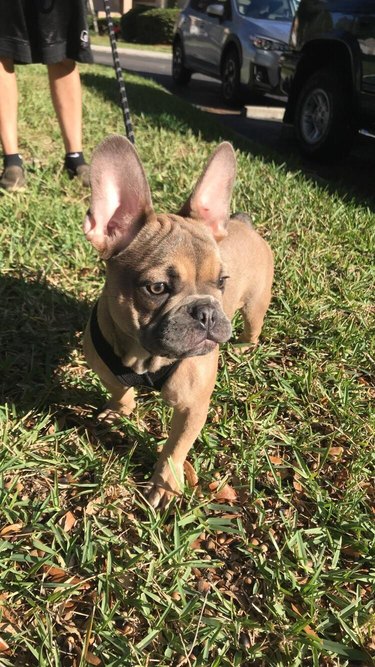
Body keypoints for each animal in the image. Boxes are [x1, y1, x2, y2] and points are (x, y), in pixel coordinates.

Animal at [83, 137, 274, 512]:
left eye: (222, 281)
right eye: (157, 288)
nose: (206, 312)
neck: (144, 359)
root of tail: (243, 225)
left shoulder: (193, 408)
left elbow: (176, 447)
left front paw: (166, 484)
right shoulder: (102, 363)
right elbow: (118, 388)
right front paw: (120, 410)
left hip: (256, 305)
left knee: (254, 327)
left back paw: (245, 347)